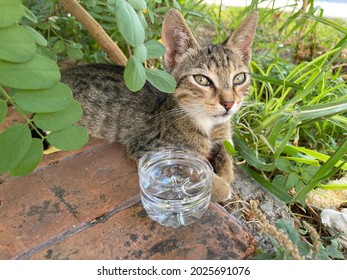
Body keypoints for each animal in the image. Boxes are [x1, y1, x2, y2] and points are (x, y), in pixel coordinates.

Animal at [61, 8, 258, 201]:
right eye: (202, 80)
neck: (207, 123)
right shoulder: (148, 147)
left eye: (239, 78)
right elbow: (199, 171)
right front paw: (222, 187)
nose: (229, 103)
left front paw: (227, 173)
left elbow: (228, 156)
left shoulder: (224, 137)